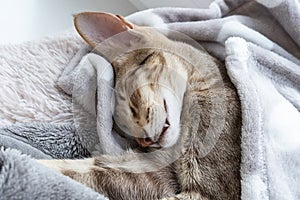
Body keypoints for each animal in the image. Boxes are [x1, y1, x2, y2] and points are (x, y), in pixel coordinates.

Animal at [39, 12, 241, 200]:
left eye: (132, 105)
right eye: (128, 135)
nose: (146, 142)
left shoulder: (207, 192)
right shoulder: (155, 169)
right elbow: (85, 169)